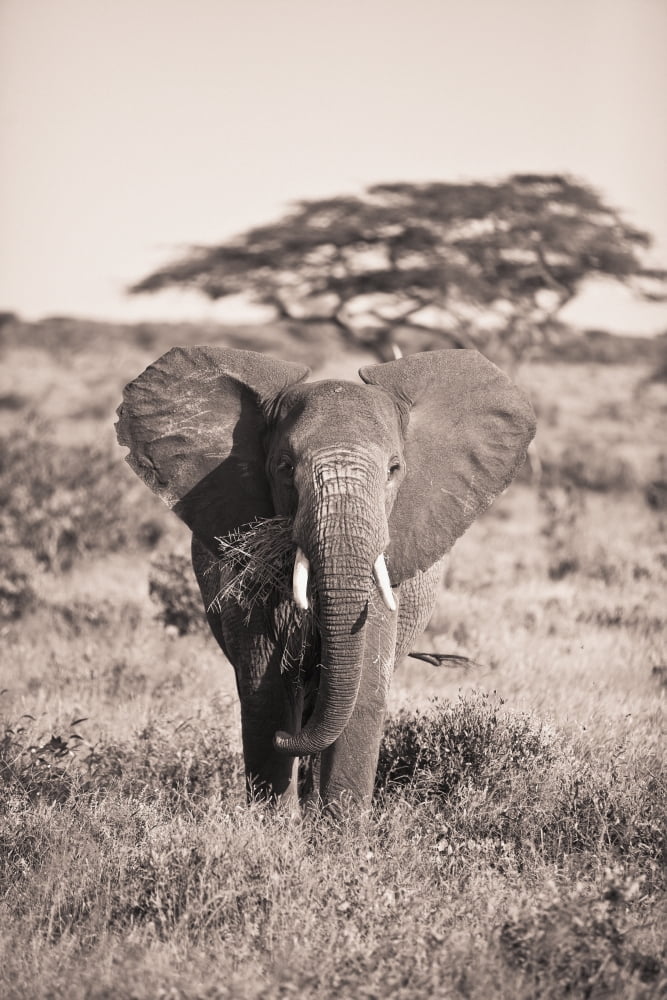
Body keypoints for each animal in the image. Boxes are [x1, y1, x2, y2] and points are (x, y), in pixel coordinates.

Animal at [116, 347, 535, 811]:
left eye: (394, 469)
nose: (288, 738)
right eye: (285, 467)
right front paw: (273, 823)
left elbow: (363, 688)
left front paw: (340, 828)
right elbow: (267, 688)